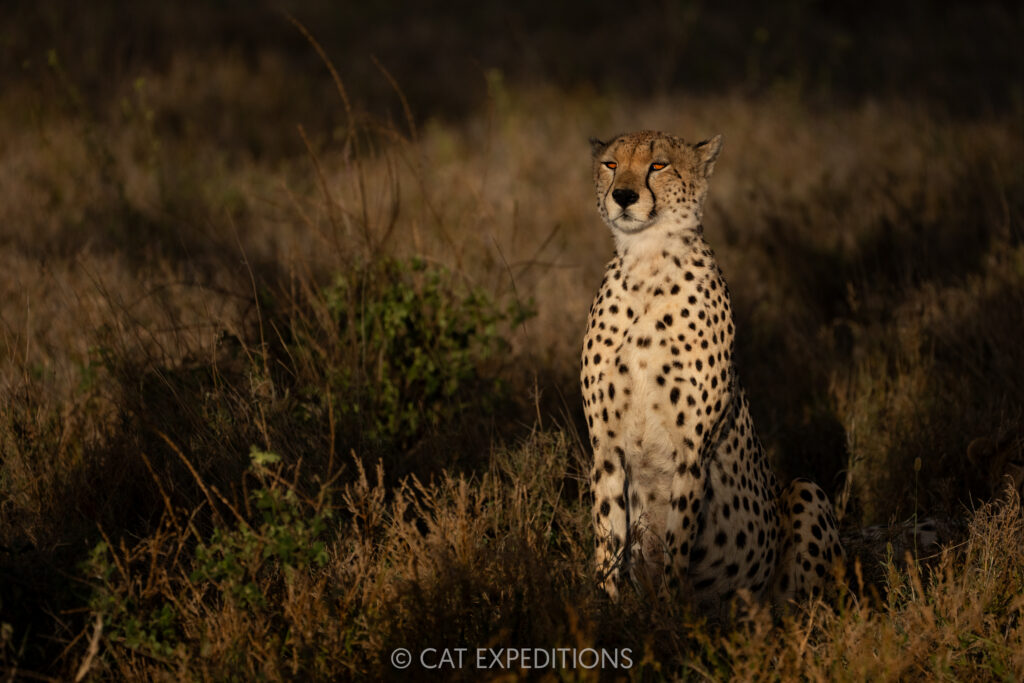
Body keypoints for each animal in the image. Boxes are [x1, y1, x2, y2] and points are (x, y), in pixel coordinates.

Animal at [580, 130, 844, 609]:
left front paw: (669, 615)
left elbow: (677, 545)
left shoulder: (691, 450)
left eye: (659, 165)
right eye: (611, 164)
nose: (623, 196)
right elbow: (607, 534)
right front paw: (604, 608)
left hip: (804, 494)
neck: (647, 260)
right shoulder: (606, 448)